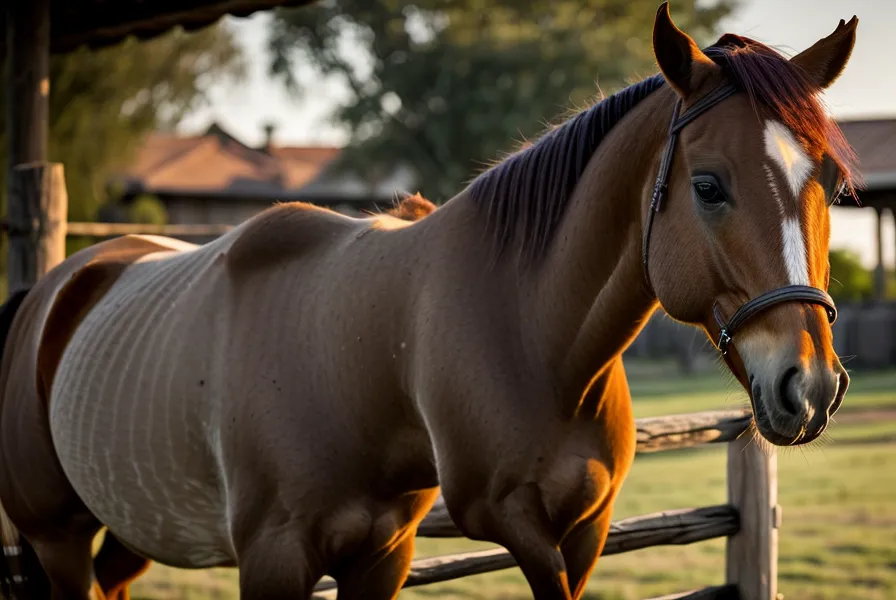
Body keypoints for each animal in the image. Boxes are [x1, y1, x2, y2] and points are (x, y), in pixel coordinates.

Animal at [0, 4, 859, 599]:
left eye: (831, 183)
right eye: (709, 186)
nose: (809, 387)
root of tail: (54, 289)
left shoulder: (450, 547)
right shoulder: (295, 555)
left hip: (126, 532)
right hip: (59, 539)